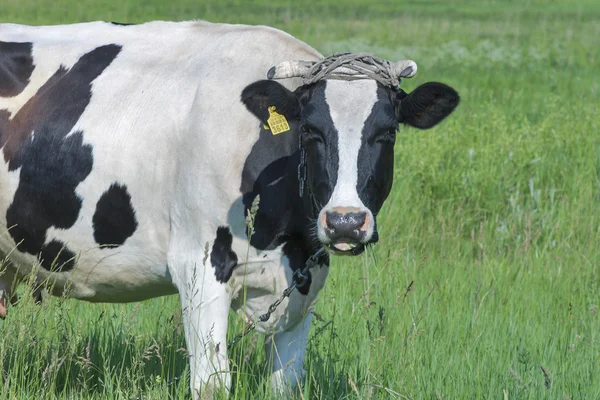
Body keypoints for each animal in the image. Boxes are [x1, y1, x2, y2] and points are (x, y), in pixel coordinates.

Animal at [0, 21, 460, 396]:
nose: (345, 222)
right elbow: (212, 384)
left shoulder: (306, 280)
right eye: (311, 131)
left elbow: (287, 383)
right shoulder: (199, 266)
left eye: (388, 133)